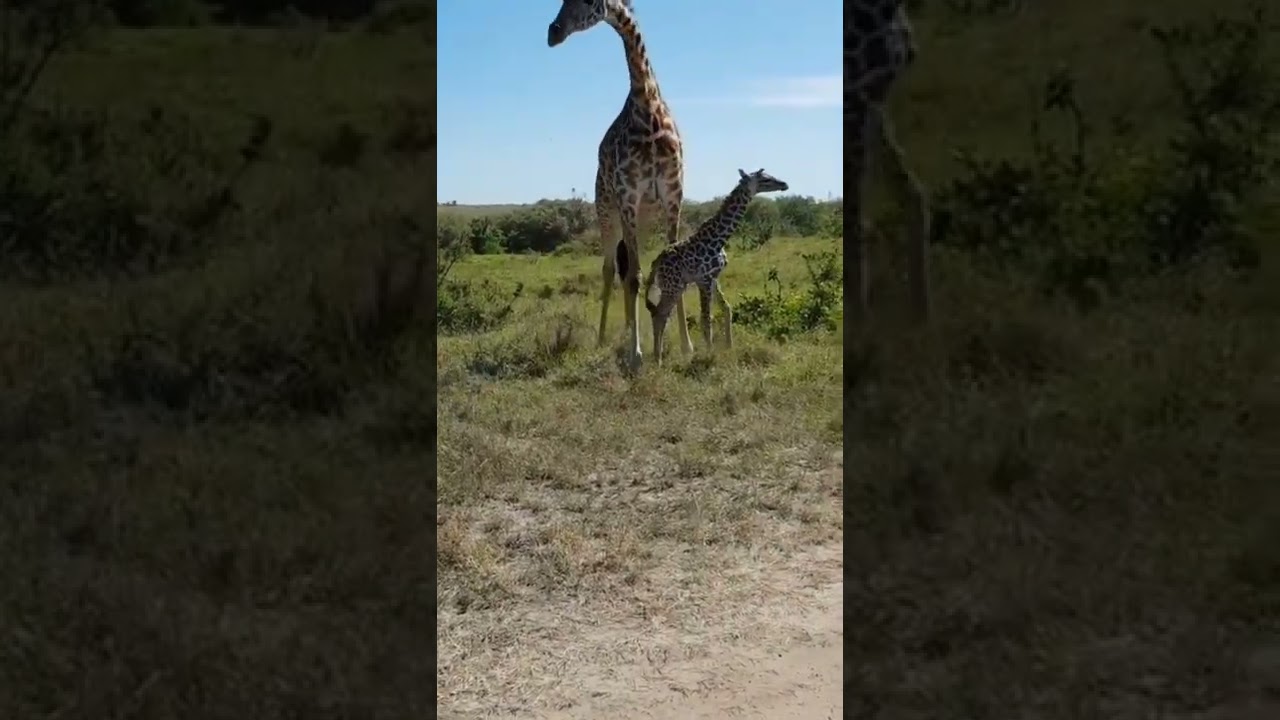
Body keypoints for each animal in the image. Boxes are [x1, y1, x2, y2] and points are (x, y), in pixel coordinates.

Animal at [547, 0, 694, 371]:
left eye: (585, 1)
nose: (553, 33)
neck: (648, 107)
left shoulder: (673, 196)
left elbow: (674, 265)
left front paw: (687, 346)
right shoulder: (628, 196)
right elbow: (633, 276)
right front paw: (636, 354)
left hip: (641, 218)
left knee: (627, 267)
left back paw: (629, 328)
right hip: (607, 211)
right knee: (611, 269)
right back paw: (605, 338)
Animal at [642, 169, 789, 367]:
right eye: (765, 179)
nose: (784, 184)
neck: (719, 238)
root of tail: (656, 262)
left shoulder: (713, 278)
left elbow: (726, 308)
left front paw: (729, 346)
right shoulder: (703, 279)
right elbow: (706, 318)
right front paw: (709, 355)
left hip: (676, 286)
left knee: (660, 314)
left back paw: (658, 356)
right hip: (672, 287)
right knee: (659, 315)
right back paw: (657, 360)